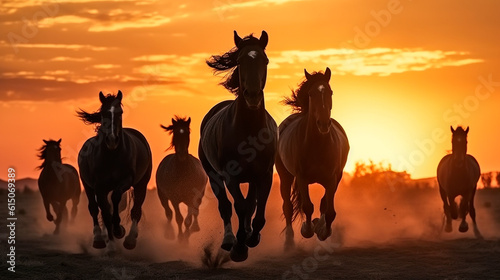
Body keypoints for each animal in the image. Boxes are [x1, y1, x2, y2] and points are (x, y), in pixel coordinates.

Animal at [76, 90, 152, 249]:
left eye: (120, 112)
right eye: (103, 112)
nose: (112, 140)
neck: (112, 156)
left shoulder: (126, 181)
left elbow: (116, 199)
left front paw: (119, 229)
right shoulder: (99, 187)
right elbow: (105, 211)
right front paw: (110, 243)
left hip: (141, 183)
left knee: (136, 209)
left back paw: (130, 239)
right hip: (87, 186)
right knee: (94, 208)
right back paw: (99, 238)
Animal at [199, 29, 278, 262]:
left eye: (265, 60)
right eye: (241, 60)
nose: (252, 95)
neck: (249, 130)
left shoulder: (264, 175)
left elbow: (257, 209)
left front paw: (252, 237)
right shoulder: (230, 176)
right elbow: (240, 206)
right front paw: (239, 247)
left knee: (250, 204)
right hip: (213, 174)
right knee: (225, 206)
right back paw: (229, 240)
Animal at [276, 68, 350, 249]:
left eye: (330, 92)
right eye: (311, 94)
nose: (323, 124)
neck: (318, 144)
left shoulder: (332, 179)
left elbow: (328, 210)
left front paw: (322, 231)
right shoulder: (301, 178)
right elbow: (307, 207)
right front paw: (307, 230)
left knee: (322, 204)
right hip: (285, 176)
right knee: (287, 207)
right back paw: (289, 243)